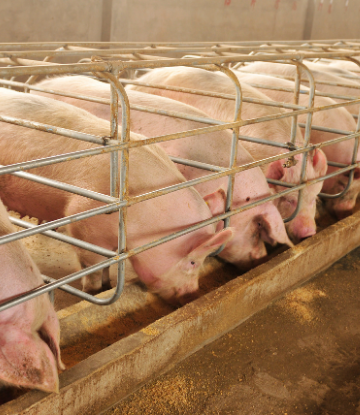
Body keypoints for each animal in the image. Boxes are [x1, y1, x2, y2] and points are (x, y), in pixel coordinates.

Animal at [0, 88, 233, 306]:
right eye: (193, 262)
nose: (191, 294)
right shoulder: (82, 222)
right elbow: (92, 268)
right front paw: (94, 292)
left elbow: (108, 263)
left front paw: (107, 285)